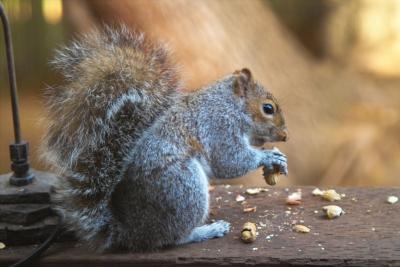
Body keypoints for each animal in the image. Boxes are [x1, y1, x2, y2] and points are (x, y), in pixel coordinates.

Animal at [41, 25, 288, 253]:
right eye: (268, 108)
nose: (284, 136)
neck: (230, 106)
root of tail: (129, 233)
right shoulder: (219, 127)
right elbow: (230, 161)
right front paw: (268, 156)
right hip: (184, 187)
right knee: (173, 238)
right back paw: (206, 231)